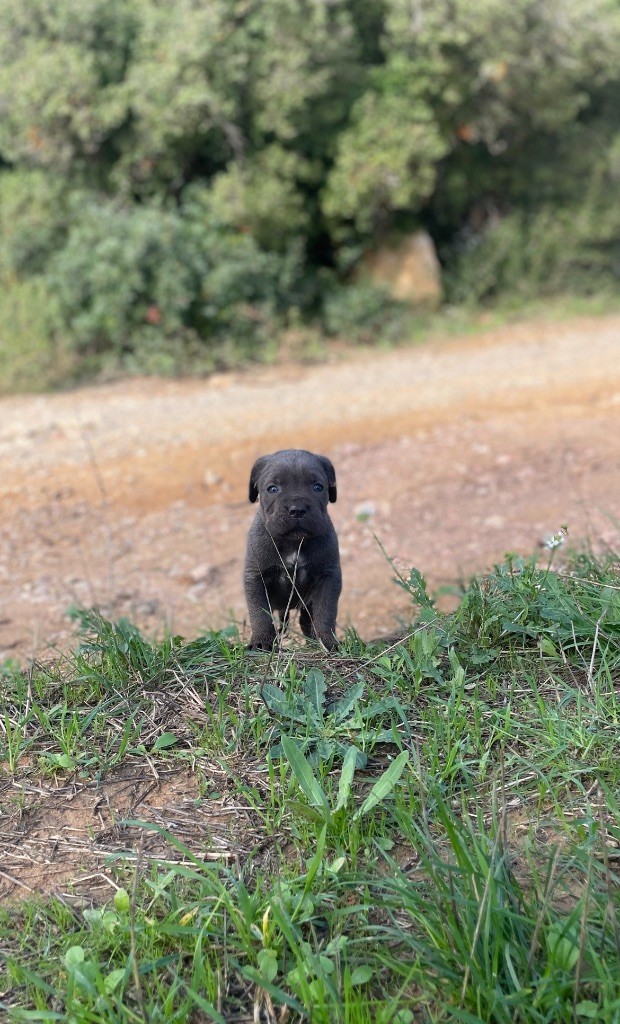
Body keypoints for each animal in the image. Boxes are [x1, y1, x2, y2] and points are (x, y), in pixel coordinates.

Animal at [242, 448, 340, 647]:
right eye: (272, 489)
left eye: (318, 487)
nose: (297, 509)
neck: (293, 543)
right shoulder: (255, 577)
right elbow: (260, 614)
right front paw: (261, 642)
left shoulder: (328, 577)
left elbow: (325, 612)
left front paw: (327, 641)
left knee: (306, 619)